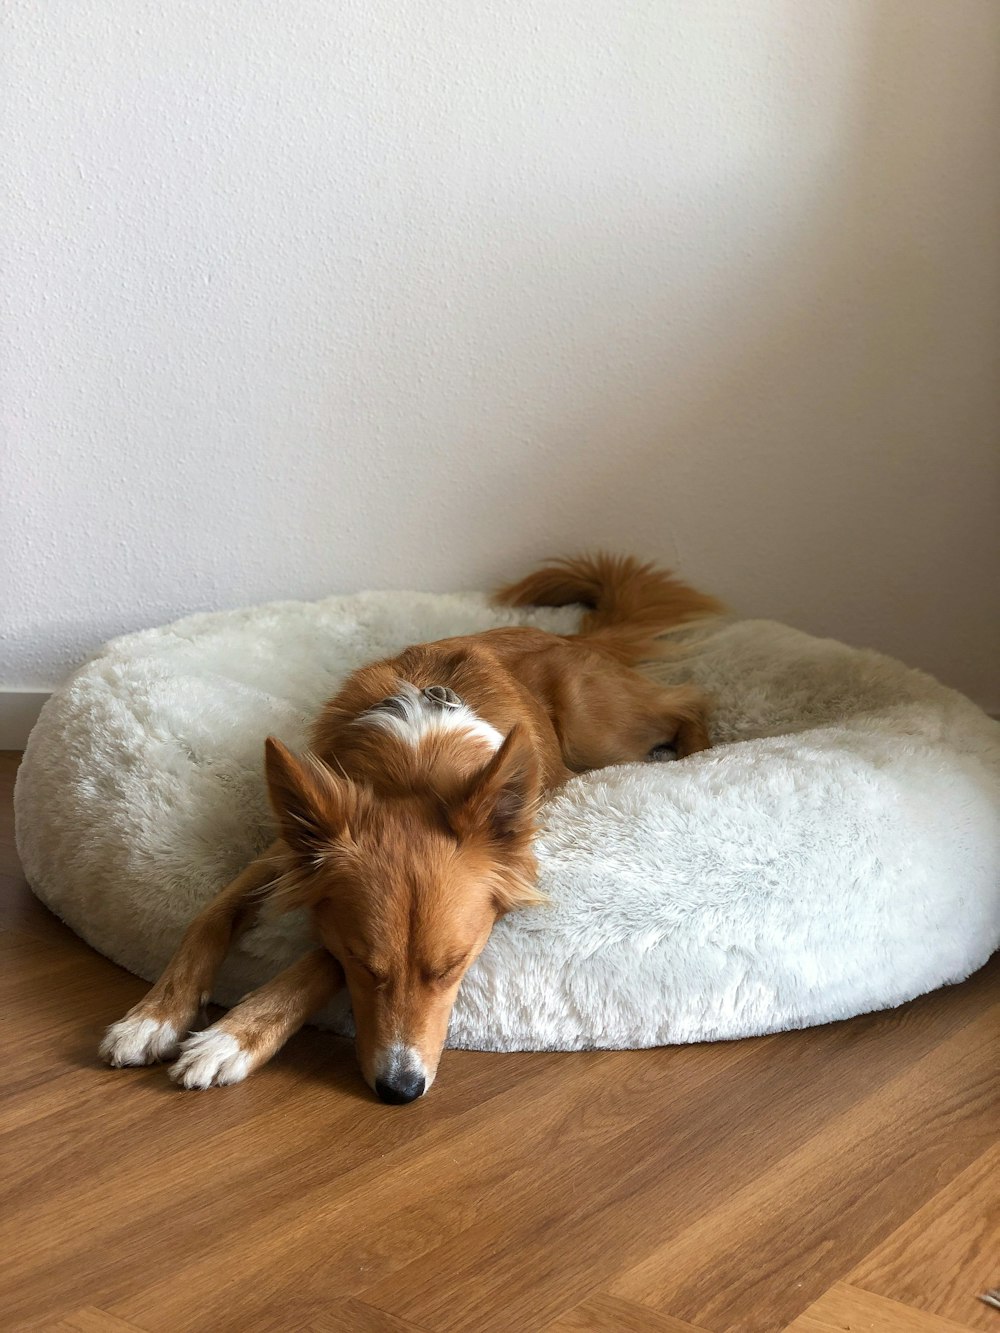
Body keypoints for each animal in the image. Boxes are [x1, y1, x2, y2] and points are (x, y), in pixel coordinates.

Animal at [100, 551, 720, 1103]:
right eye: (364, 964)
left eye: (454, 966)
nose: (400, 1090)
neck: (414, 770)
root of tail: (575, 640)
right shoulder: (285, 852)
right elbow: (210, 916)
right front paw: (154, 1016)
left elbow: (312, 962)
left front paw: (230, 1038)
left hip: (599, 734)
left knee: (689, 699)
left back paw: (699, 755)